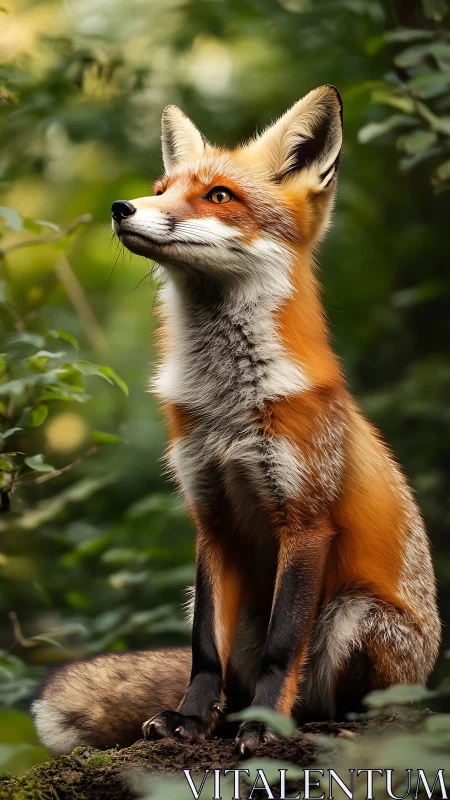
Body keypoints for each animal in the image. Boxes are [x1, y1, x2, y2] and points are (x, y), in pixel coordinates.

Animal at [32, 85, 440, 758]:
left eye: (219, 195)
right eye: (161, 187)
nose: (122, 208)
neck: (227, 409)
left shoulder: (306, 520)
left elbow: (283, 647)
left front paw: (264, 729)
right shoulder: (210, 514)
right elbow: (204, 652)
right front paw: (190, 721)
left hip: (354, 615)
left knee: (343, 702)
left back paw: (322, 724)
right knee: (233, 671)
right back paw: (225, 718)